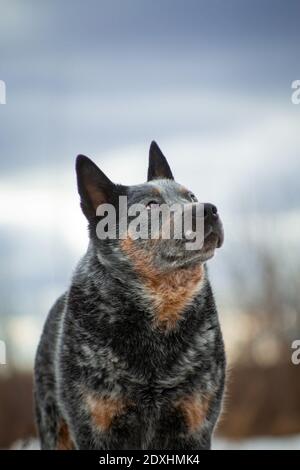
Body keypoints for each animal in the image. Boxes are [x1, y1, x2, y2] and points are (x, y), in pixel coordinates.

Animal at [34, 141, 225, 450]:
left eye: (191, 195)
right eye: (151, 205)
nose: (209, 209)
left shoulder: (196, 424)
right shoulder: (95, 427)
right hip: (53, 426)